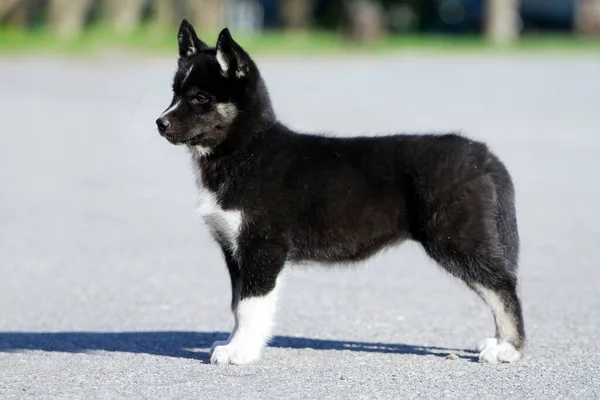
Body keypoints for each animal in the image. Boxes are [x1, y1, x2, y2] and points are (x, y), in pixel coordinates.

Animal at [156, 19, 524, 366]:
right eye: (175, 93)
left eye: (201, 98)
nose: (160, 123)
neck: (245, 149)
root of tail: (482, 155)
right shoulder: (234, 252)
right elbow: (236, 304)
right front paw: (234, 342)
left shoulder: (262, 247)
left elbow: (250, 305)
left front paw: (240, 351)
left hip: (456, 239)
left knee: (502, 287)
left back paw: (508, 348)